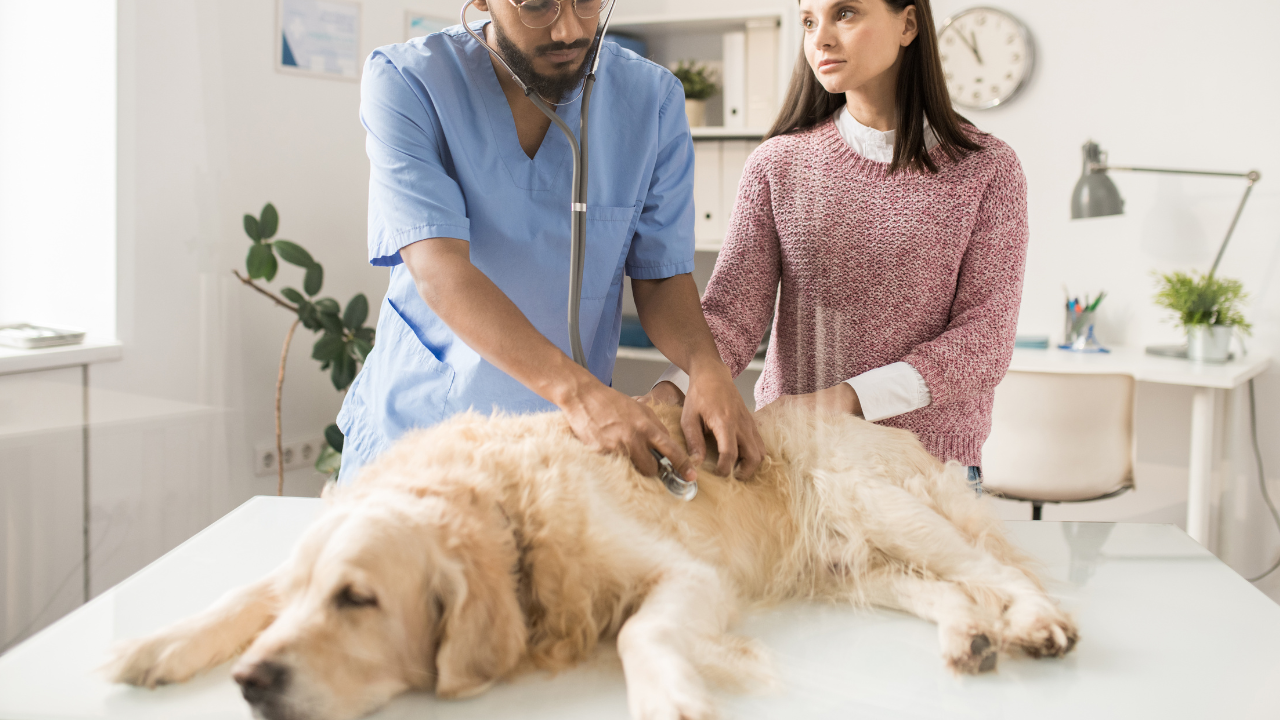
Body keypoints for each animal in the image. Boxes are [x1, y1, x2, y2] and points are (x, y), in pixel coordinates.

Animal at [107, 404, 1070, 717]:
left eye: (358, 600)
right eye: (310, 596)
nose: (251, 682)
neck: (501, 508)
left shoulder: (688, 577)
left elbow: (642, 630)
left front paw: (671, 697)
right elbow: (243, 588)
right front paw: (158, 643)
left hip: (882, 504)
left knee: (999, 571)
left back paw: (1036, 622)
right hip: (858, 563)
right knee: (946, 591)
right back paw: (968, 639)